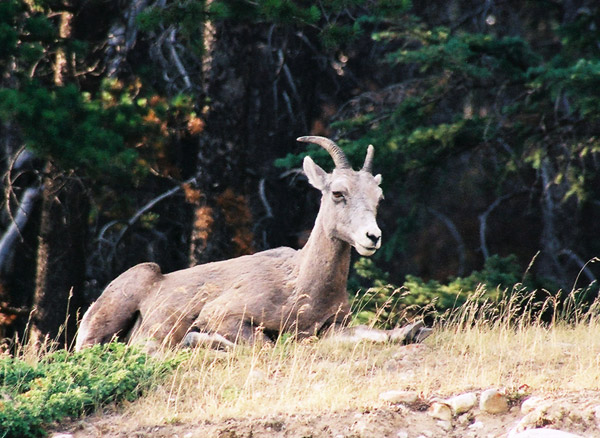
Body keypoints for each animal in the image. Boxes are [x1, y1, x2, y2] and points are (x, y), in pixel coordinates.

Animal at [76, 137, 432, 352]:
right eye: (337, 193)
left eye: (378, 197)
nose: (372, 237)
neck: (303, 286)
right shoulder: (226, 315)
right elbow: (264, 345)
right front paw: (197, 337)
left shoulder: (333, 326)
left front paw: (415, 331)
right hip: (110, 314)